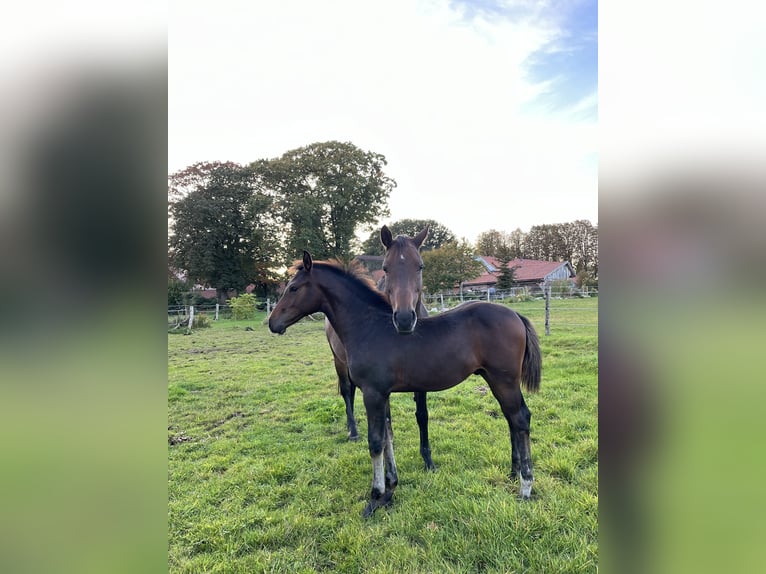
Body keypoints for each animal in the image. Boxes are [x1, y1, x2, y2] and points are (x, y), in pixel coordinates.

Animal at [272, 252, 544, 516]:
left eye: (294, 288)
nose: (273, 323)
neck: (368, 327)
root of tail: (515, 315)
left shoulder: (372, 393)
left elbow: (375, 442)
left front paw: (375, 497)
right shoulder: (383, 394)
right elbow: (388, 437)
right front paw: (390, 489)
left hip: (504, 380)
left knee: (520, 418)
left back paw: (525, 486)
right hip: (494, 379)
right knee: (512, 419)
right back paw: (514, 472)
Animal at [322, 225, 436, 468]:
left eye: (420, 266)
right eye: (386, 267)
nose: (404, 319)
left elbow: (422, 415)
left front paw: (427, 459)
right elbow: (386, 418)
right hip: (339, 361)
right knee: (347, 391)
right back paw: (353, 431)